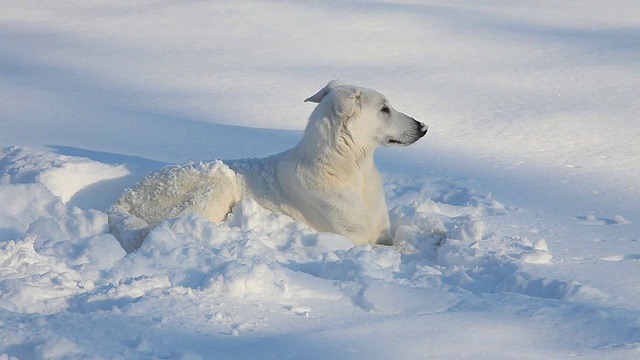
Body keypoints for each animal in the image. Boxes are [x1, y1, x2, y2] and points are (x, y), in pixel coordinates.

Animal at [109, 80, 430, 252]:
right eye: (384, 109)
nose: (424, 127)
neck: (351, 171)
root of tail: (123, 199)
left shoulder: (382, 230)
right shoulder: (352, 237)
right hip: (216, 186)